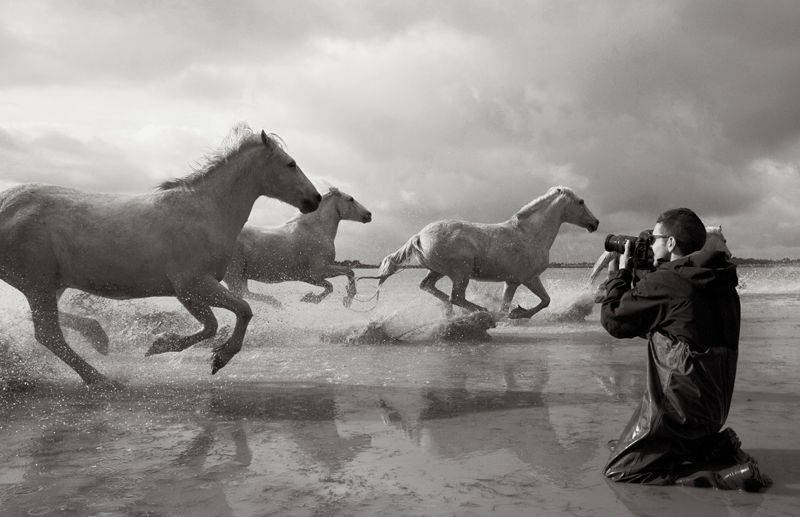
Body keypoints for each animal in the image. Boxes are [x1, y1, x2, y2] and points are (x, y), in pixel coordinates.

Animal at [0, 123, 322, 384]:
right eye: (290, 164)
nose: (315, 199)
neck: (206, 212)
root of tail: (6, 206)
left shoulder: (187, 291)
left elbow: (211, 325)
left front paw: (162, 345)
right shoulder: (192, 283)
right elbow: (242, 310)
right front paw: (219, 358)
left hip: (52, 284)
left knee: (43, 326)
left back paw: (98, 337)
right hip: (38, 283)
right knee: (48, 334)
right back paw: (100, 379)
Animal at [223, 185, 374, 306]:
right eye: (351, 199)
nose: (369, 214)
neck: (315, 230)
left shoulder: (308, 277)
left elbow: (334, 282)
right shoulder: (317, 272)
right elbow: (345, 274)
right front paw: (343, 299)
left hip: (243, 276)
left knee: (245, 294)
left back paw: (276, 303)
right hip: (234, 275)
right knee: (238, 297)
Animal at [362, 185, 600, 314]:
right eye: (581, 202)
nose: (595, 223)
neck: (530, 234)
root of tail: (419, 236)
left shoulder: (513, 281)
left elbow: (523, 303)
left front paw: (513, 314)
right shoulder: (528, 278)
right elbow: (543, 301)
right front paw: (516, 314)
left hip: (439, 271)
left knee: (428, 287)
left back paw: (450, 314)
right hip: (461, 273)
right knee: (456, 297)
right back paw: (480, 312)